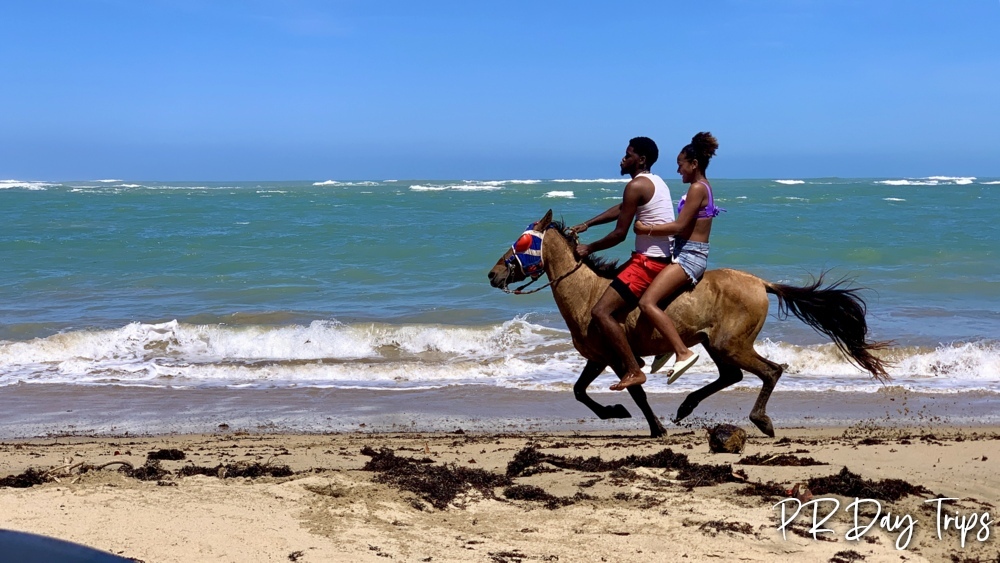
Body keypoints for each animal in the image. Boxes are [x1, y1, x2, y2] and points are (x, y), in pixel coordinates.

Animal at [488, 209, 888, 438]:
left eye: (522, 242)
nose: (493, 274)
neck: (587, 293)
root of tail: (761, 283)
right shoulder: (598, 358)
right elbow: (579, 391)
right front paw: (614, 412)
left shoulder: (619, 356)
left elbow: (634, 390)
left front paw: (654, 427)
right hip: (716, 344)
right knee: (733, 376)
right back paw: (687, 407)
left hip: (731, 344)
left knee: (770, 371)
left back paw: (760, 420)